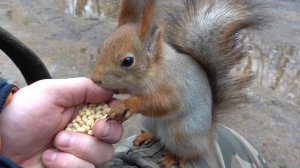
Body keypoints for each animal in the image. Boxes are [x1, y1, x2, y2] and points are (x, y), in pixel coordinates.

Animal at [91, 0, 264, 167]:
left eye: (127, 61)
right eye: (100, 47)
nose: (95, 79)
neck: (154, 70)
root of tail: (207, 137)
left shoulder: (175, 87)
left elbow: (163, 104)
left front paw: (125, 105)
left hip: (181, 133)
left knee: (189, 153)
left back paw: (174, 158)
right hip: (149, 121)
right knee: (158, 135)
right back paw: (148, 136)